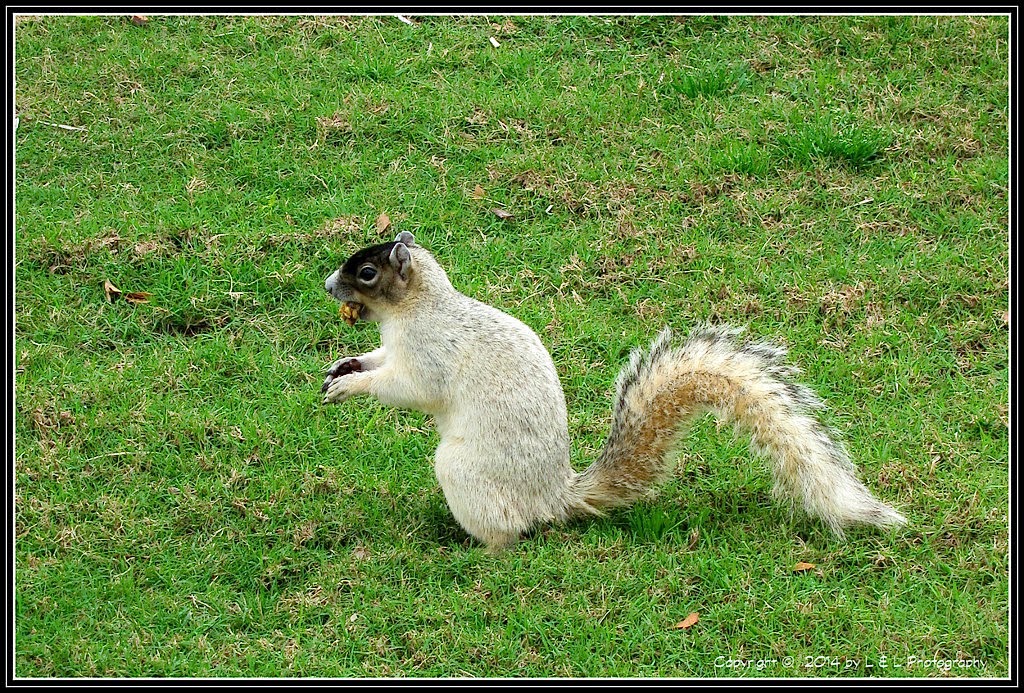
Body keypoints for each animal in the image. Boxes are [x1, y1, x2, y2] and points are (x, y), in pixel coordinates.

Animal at [322, 231, 906, 551]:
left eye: (366, 272)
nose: (329, 285)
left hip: (466, 474)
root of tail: (553, 498)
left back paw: (479, 552)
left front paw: (352, 386)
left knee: (508, 534)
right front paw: (344, 366)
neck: (417, 307)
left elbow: (406, 387)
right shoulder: (394, 346)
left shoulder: (429, 353)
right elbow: (378, 360)